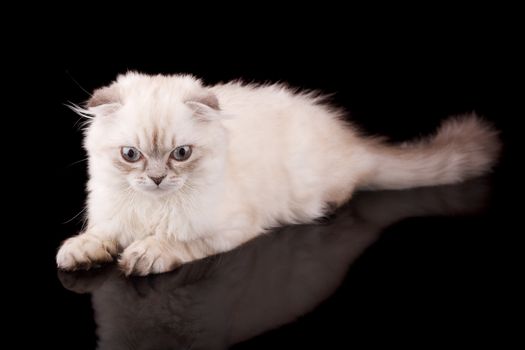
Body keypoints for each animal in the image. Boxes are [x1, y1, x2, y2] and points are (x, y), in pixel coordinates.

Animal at [55, 72, 502, 274]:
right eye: (131, 155)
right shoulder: (111, 218)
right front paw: (80, 252)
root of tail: (352, 141)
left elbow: (178, 243)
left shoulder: (231, 228)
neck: (152, 208)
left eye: (180, 154)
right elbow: (96, 236)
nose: (157, 179)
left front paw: (145, 253)